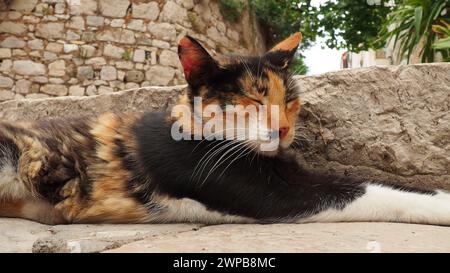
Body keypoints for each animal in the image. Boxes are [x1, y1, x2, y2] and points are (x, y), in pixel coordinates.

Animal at [0, 32, 450, 225]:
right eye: (253, 101)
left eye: (289, 101)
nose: (282, 130)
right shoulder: (271, 194)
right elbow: (370, 191)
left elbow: (376, 180)